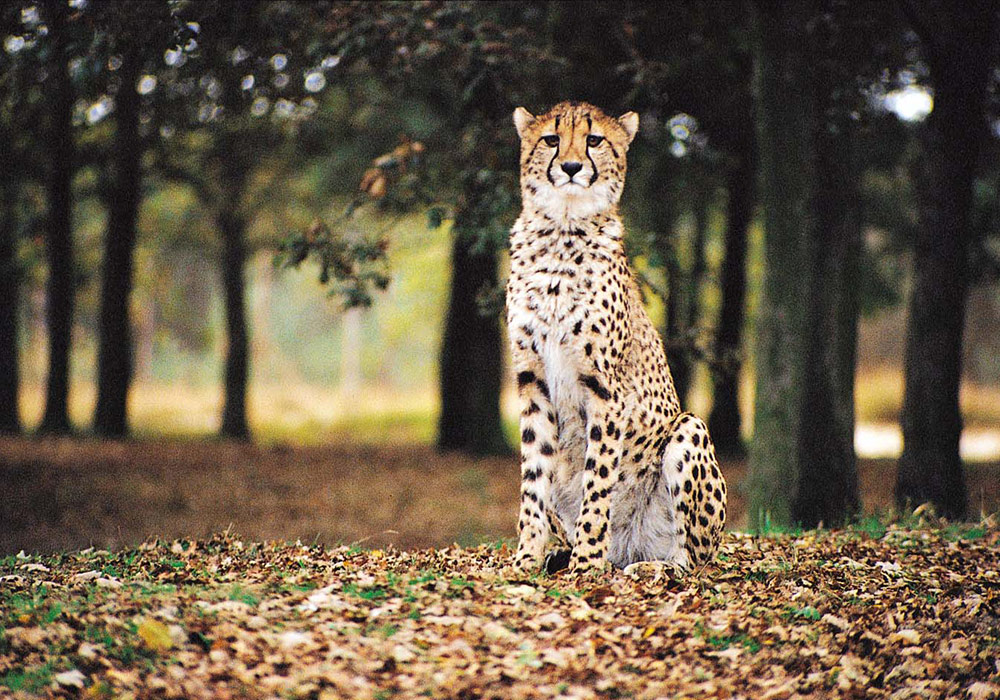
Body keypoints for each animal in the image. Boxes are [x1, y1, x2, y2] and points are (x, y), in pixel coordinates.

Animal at [505, 101, 727, 575]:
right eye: (551, 139)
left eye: (594, 140)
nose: (571, 167)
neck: (562, 229)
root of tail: (629, 548)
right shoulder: (532, 381)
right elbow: (533, 480)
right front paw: (527, 557)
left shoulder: (605, 389)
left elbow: (598, 480)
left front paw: (586, 563)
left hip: (689, 428)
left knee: (693, 559)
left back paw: (648, 567)